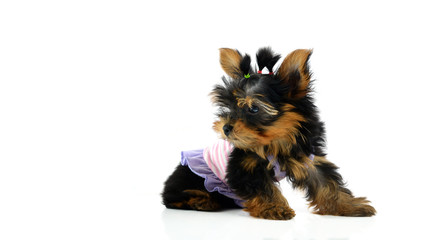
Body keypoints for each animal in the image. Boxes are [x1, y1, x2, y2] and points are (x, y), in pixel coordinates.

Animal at [162, 47, 376, 219]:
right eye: (231, 107)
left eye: (253, 109)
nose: (226, 128)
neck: (277, 140)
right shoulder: (244, 165)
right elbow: (262, 187)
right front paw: (274, 208)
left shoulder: (308, 158)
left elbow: (326, 182)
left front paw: (349, 205)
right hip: (189, 177)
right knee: (172, 197)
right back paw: (200, 200)